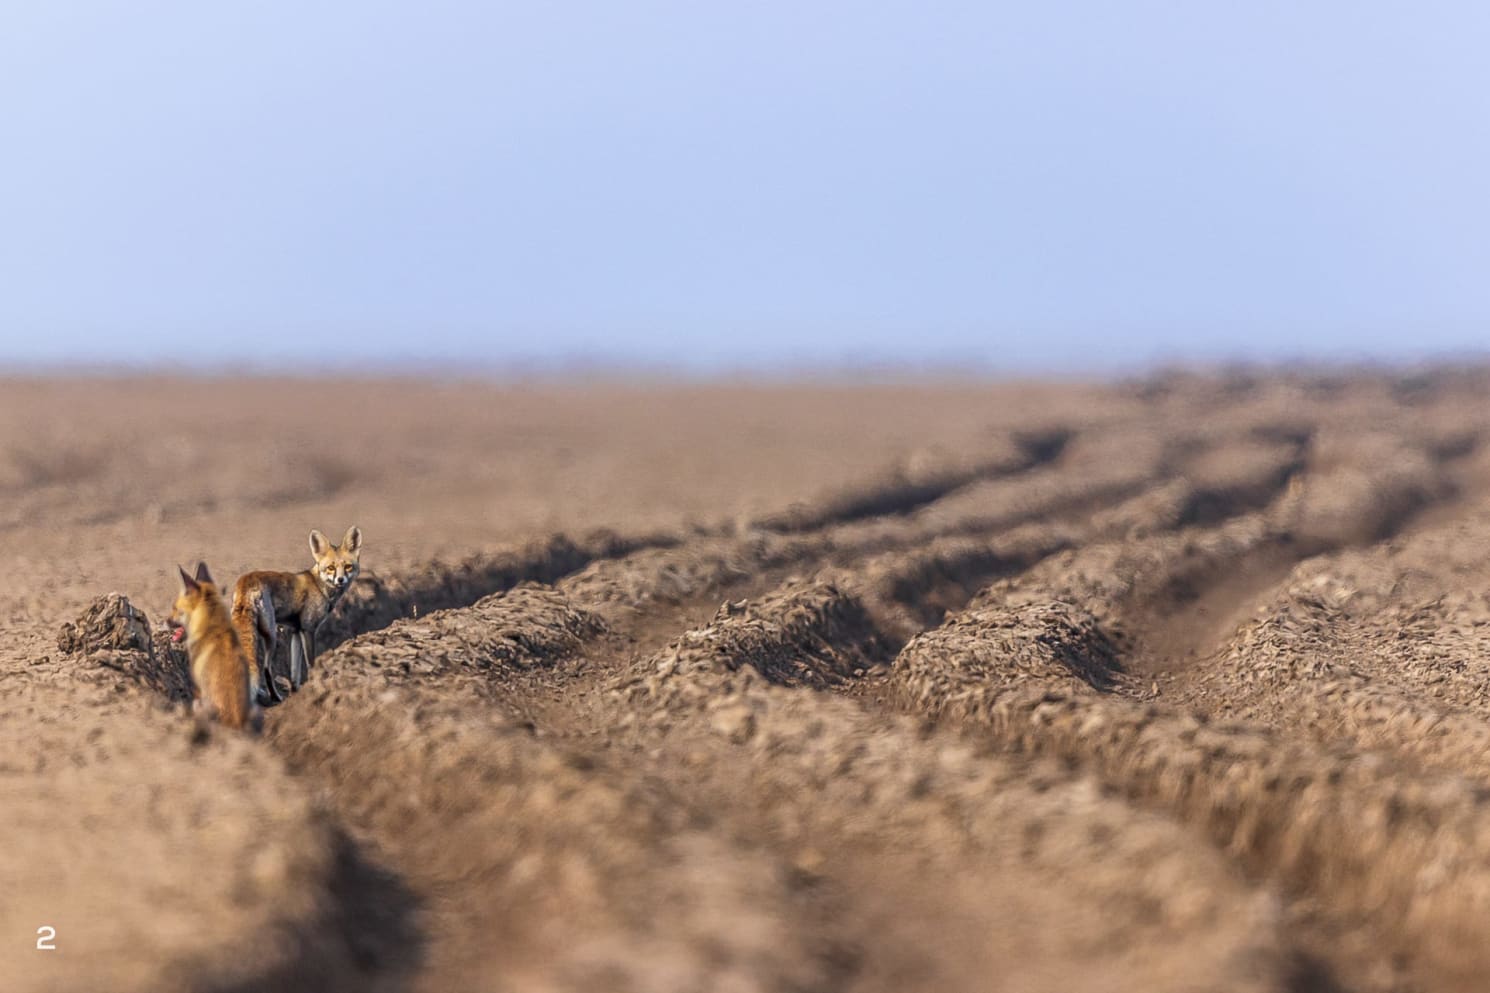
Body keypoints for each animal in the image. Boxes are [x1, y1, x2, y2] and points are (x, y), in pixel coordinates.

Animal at [168, 562, 262, 734]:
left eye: (175, 608)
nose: (165, 621)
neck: (213, 628)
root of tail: (235, 725)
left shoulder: (197, 689)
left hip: (200, 706)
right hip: (256, 709)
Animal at [232, 526, 362, 704]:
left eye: (348, 566)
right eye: (331, 568)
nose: (340, 580)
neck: (319, 586)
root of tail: (246, 580)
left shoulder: (295, 631)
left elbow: (295, 672)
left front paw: (296, 694)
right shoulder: (308, 629)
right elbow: (310, 663)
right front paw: (315, 685)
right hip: (271, 636)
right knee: (266, 669)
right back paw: (276, 697)